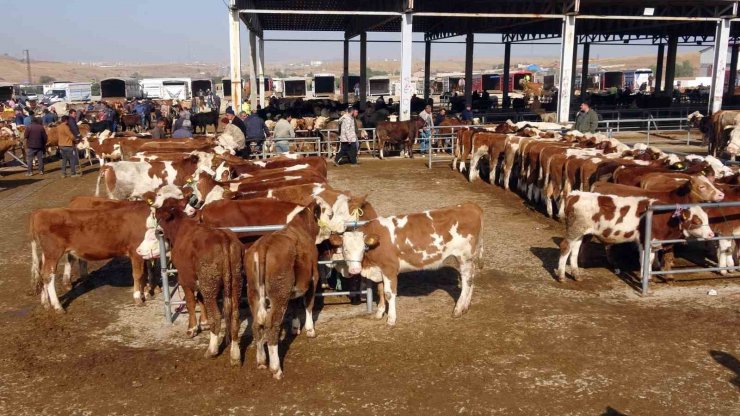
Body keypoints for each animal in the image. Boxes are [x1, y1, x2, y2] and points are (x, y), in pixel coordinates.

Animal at [150, 198, 243, 364]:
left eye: (158, 215)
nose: (157, 231)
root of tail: (223, 238)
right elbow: (200, 298)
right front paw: (204, 323)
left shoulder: (184, 278)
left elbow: (191, 302)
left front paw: (192, 328)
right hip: (235, 281)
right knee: (234, 315)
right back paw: (235, 354)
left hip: (209, 282)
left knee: (217, 316)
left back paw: (212, 350)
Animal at [246, 203, 324, 378]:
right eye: (329, 212)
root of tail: (263, 245)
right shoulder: (313, 278)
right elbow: (308, 304)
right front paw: (310, 330)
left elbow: (294, 305)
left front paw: (295, 327)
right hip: (279, 294)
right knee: (271, 325)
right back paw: (276, 369)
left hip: (253, 292)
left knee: (256, 324)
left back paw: (262, 361)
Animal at [330, 203, 482, 326]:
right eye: (345, 249)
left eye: (363, 249)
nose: (355, 270)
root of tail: (470, 205)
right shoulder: (379, 269)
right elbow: (380, 290)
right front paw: (379, 313)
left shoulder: (389, 268)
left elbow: (389, 293)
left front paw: (391, 319)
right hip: (470, 258)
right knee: (472, 278)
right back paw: (466, 306)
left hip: (464, 256)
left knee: (467, 281)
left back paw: (458, 309)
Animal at [556, 192, 712, 282]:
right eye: (696, 220)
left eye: (706, 218)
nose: (711, 234)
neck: (661, 216)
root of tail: (573, 194)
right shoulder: (644, 241)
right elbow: (644, 260)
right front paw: (644, 278)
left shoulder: (653, 243)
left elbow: (651, 260)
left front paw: (649, 277)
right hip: (575, 230)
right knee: (565, 247)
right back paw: (562, 276)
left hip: (580, 232)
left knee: (574, 250)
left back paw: (576, 275)